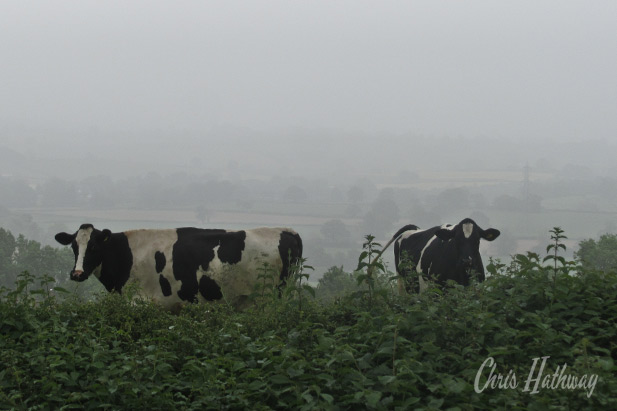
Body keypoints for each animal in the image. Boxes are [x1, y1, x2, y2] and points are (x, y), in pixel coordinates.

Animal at [56, 225, 302, 308]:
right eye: (74, 246)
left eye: (94, 247)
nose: (77, 273)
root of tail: (288, 231)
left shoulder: (139, 303)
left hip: (268, 299)